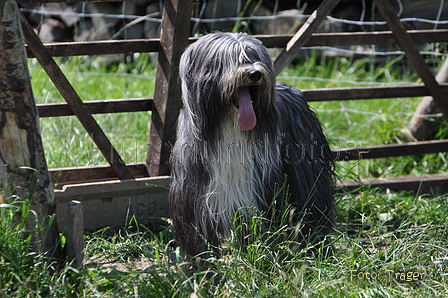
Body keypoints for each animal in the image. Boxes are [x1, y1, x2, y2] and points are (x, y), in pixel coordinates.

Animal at [167, 31, 332, 258]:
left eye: (253, 55)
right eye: (228, 59)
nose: (255, 73)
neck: (230, 127)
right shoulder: (193, 191)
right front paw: (202, 264)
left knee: (312, 200)